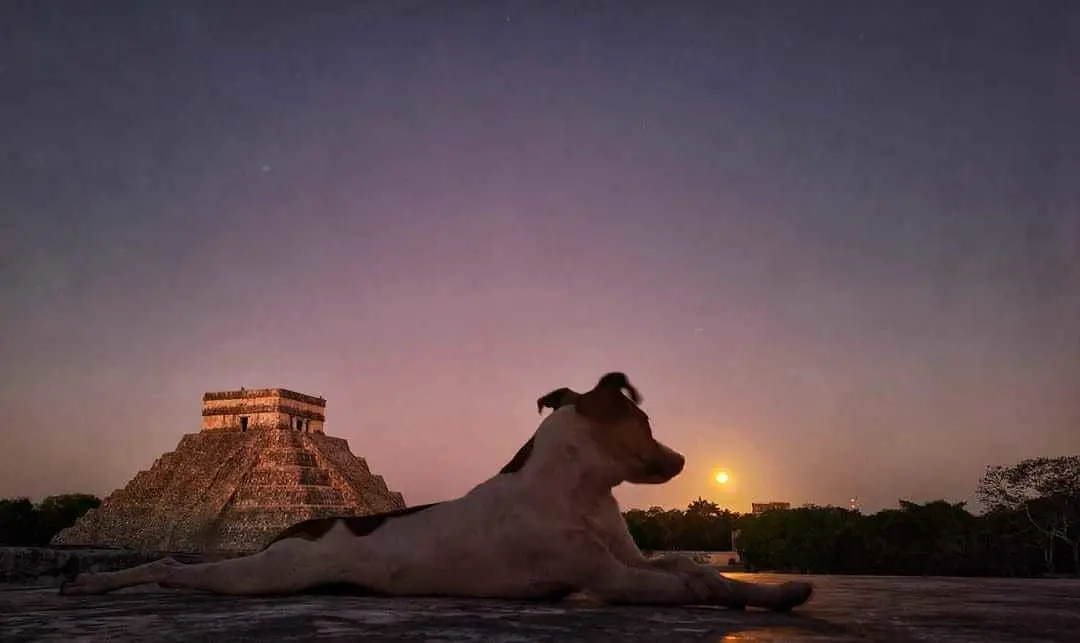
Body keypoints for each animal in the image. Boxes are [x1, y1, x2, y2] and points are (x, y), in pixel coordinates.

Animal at [61, 371, 812, 609]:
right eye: (647, 422)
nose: (682, 457)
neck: (584, 491)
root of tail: (301, 524)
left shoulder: (628, 559)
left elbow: (692, 565)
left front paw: (777, 588)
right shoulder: (607, 577)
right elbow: (690, 583)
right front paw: (738, 593)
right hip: (262, 576)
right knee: (171, 566)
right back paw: (97, 582)